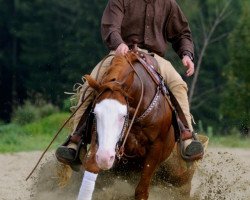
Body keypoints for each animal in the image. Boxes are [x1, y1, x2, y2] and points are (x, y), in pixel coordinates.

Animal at [78, 52, 176, 200]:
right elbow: (92, 165)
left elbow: (141, 191)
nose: (106, 158)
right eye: (95, 113)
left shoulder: (156, 147)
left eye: (123, 115)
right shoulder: (98, 139)